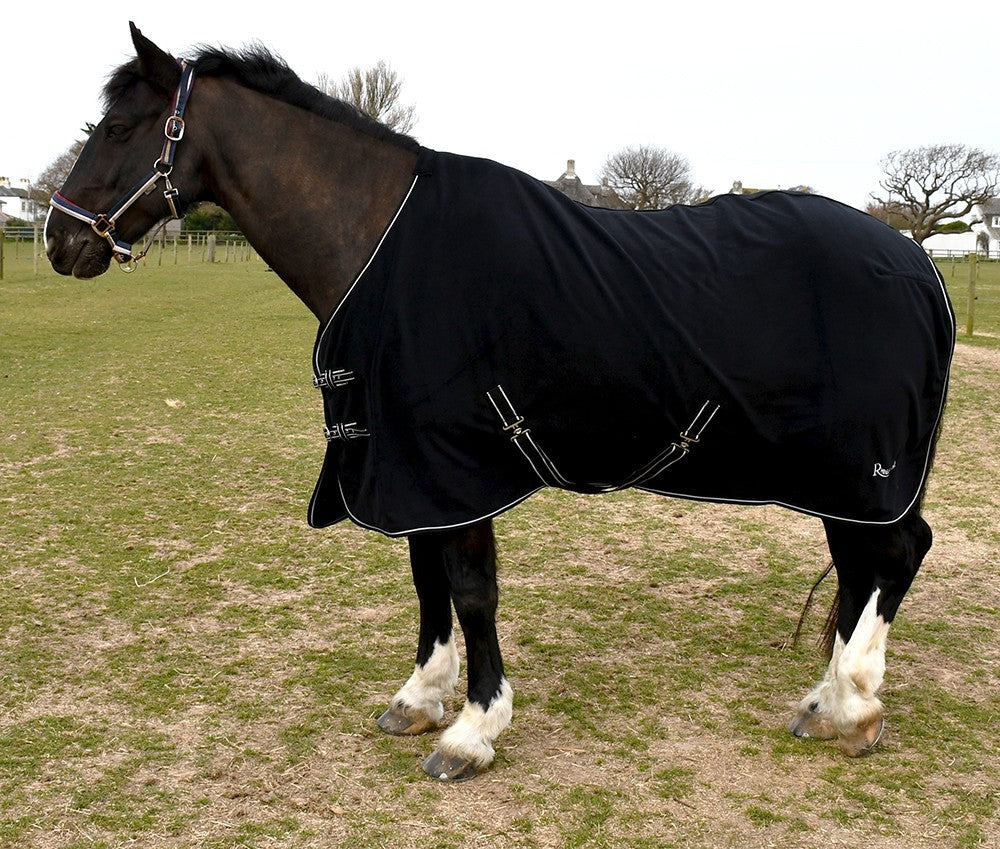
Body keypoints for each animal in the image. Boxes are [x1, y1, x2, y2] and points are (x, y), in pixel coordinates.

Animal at [45, 24, 954, 781]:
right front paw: (419, 698)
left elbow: (471, 588)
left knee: (897, 551)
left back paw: (852, 702)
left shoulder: (457, 465)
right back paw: (829, 700)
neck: (386, 246)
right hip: (841, 478)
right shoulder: (409, 468)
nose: (59, 239)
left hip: (861, 468)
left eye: (120, 129)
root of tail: (918, 264)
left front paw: (473, 730)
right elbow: (427, 580)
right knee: (864, 564)